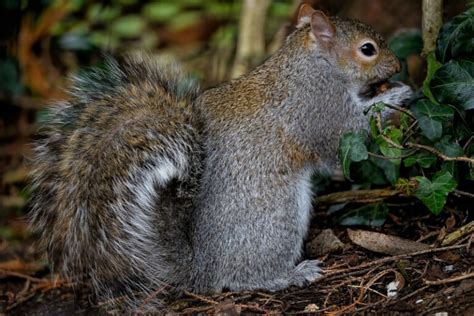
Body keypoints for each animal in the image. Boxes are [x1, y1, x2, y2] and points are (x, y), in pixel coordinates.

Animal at [31, 4, 412, 310]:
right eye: (367, 49)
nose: (397, 64)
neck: (311, 61)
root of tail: (202, 268)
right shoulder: (320, 108)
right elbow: (348, 137)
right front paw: (395, 98)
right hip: (277, 221)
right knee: (242, 277)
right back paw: (290, 275)